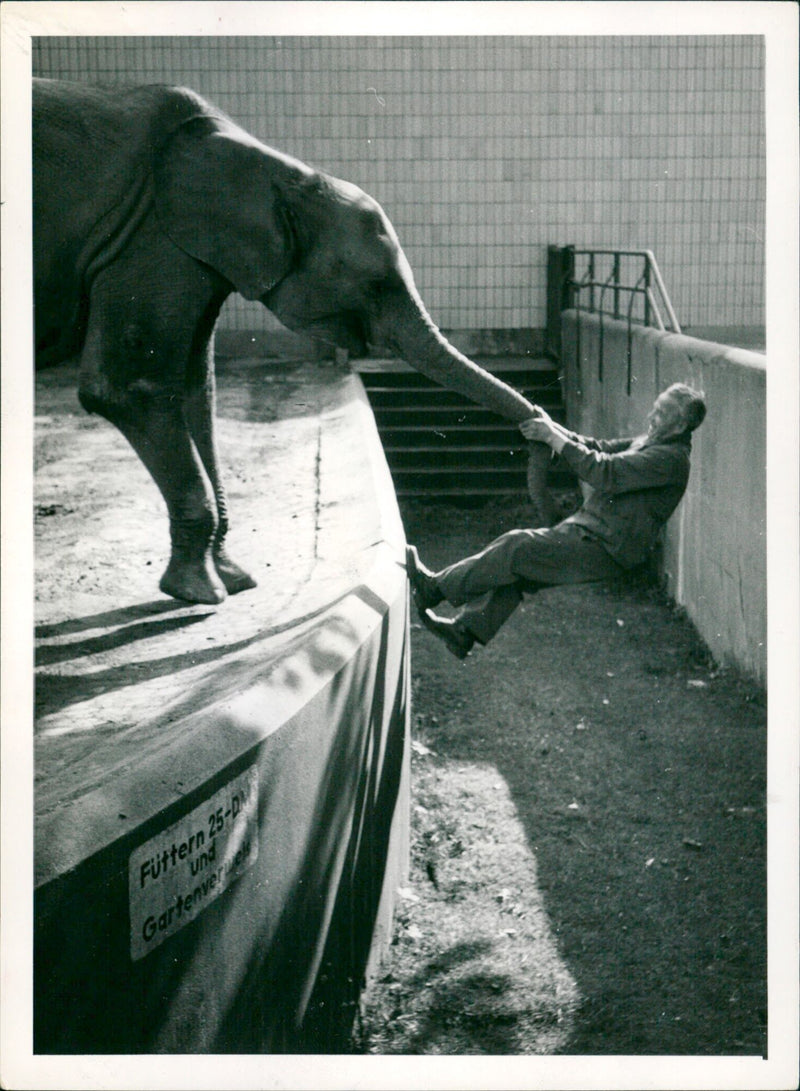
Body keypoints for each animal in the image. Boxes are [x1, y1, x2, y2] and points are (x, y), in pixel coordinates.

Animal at [33, 77, 552, 605]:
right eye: (376, 285)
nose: (542, 433)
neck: (281, 173)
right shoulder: (145, 241)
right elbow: (127, 389)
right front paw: (201, 594)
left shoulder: (188, 251)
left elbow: (197, 390)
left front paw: (234, 580)